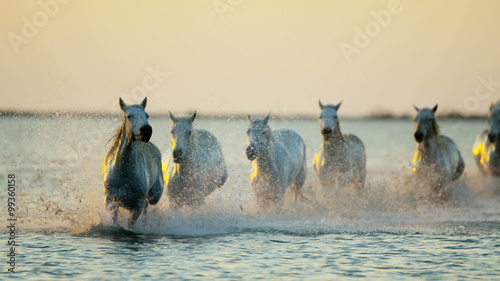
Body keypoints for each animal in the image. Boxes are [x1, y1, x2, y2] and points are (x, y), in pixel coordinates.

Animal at [101, 97, 164, 226]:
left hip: (154, 196)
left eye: (147, 115)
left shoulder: (137, 206)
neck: (124, 173)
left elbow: (131, 224)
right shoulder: (111, 201)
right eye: (129, 116)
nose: (146, 131)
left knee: (147, 205)